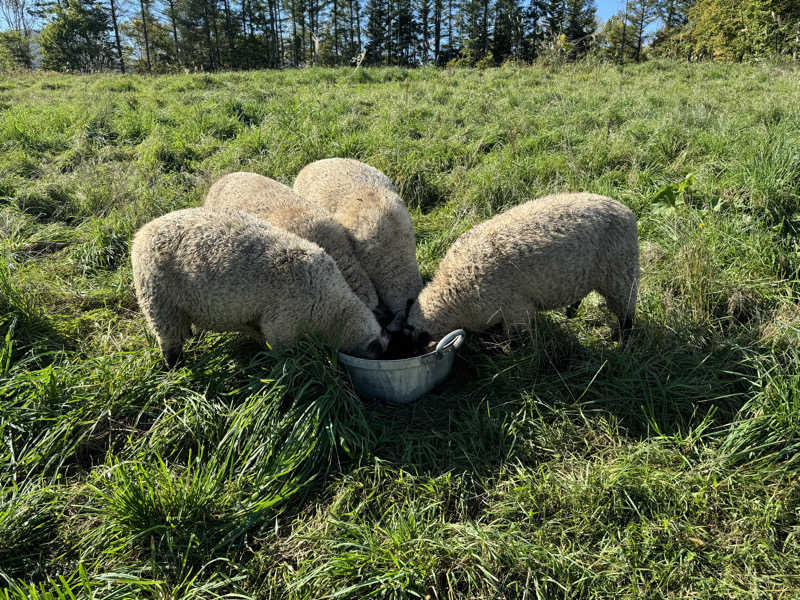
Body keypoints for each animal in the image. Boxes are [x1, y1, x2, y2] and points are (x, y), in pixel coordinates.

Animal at [131, 207, 390, 366]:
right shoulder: (282, 325)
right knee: (169, 341)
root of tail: (142, 233)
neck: (331, 306)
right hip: (157, 300)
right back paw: (175, 367)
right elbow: (282, 354)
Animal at [404, 193, 640, 340]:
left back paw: (622, 338)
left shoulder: (516, 309)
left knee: (627, 311)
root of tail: (624, 209)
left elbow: (518, 340)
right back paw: (570, 312)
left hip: (621, 272)